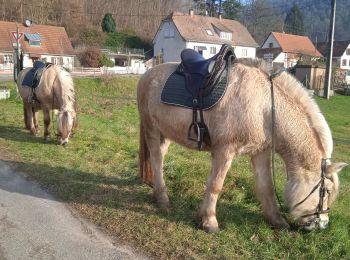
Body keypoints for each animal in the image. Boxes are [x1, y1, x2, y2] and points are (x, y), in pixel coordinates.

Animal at [137, 58, 348, 232]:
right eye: (326, 191)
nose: (322, 224)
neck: (265, 106)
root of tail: (147, 74)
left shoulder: (260, 153)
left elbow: (266, 187)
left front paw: (277, 221)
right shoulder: (224, 151)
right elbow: (215, 185)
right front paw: (209, 221)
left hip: (166, 134)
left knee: (160, 158)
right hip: (152, 130)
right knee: (156, 159)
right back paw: (162, 198)